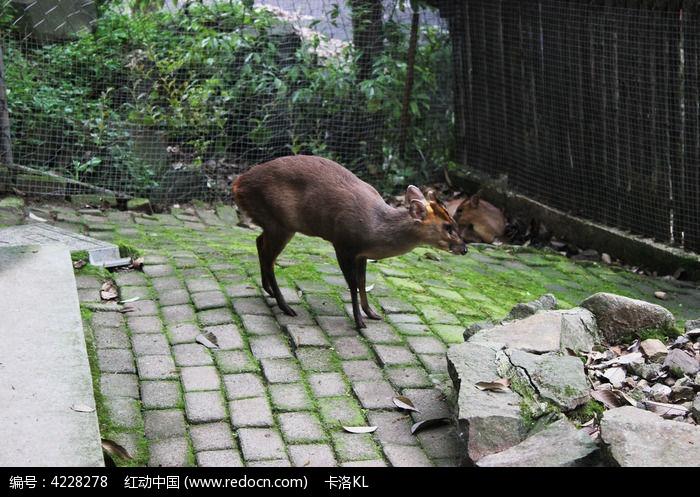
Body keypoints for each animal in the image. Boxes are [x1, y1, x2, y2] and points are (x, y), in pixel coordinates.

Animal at [232, 155, 467, 329]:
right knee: (269, 257)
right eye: (448, 227)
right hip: (280, 223)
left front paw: (371, 313)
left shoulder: (362, 254)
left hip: (273, 224)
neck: (375, 227)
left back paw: (270, 291)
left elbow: (362, 282)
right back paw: (285, 307)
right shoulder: (343, 244)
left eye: (454, 222)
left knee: (259, 243)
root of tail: (238, 184)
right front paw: (359, 321)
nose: (464, 248)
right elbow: (352, 283)